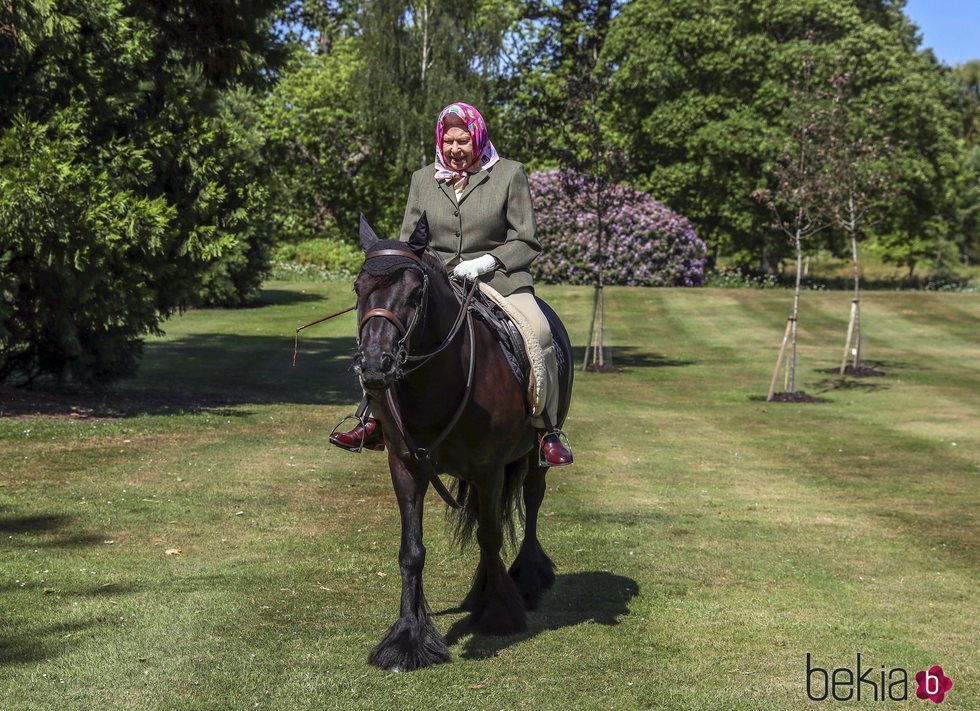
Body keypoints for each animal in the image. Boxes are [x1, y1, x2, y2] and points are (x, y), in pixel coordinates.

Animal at [352, 214, 572, 672]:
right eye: (358, 288)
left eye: (415, 293)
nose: (376, 365)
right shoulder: (405, 466)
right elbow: (411, 551)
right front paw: (407, 639)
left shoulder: (488, 469)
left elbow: (490, 536)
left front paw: (499, 611)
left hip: (535, 457)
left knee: (532, 503)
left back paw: (526, 579)